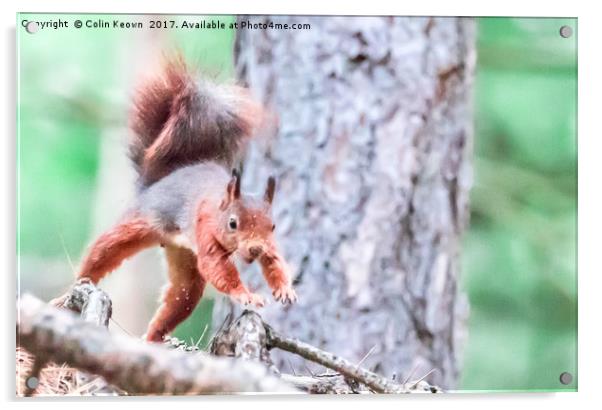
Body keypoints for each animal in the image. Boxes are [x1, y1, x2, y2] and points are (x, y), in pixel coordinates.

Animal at [74, 55, 296, 342]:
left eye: (273, 226)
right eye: (233, 223)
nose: (255, 248)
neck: (219, 204)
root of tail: (158, 181)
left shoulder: (268, 245)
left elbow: (275, 261)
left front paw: (285, 289)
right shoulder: (205, 229)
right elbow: (217, 267)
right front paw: (245, 294)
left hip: (185, 264)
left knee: (179, 298)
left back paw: (152, 340)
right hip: (140, 223)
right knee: (104, 250)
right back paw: (73, 288)